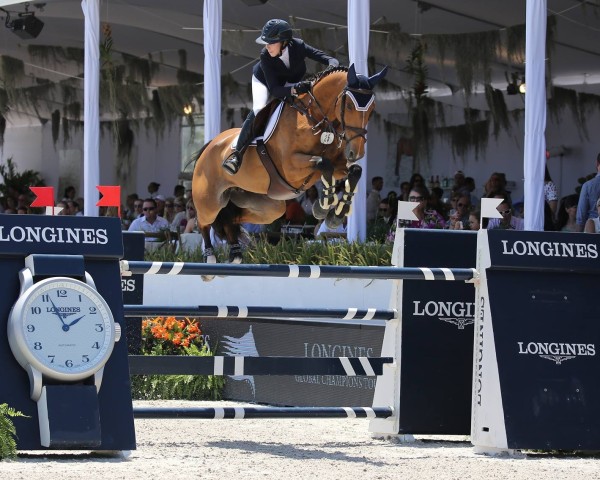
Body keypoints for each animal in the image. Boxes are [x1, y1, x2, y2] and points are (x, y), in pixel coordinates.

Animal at [192, 63, 390, 272]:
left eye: (372, 109)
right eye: (350, 106)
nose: (356, 153)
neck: (315, 119)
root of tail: (209, 146)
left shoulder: (338, 165)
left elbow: (354, 171)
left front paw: (334, 214)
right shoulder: (291, 167)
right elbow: (322, 163)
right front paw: (323, 206)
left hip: (268, 207)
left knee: (231, 219)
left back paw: (236, 253)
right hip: (210, 200)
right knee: (204, 221)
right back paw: (210, 257)